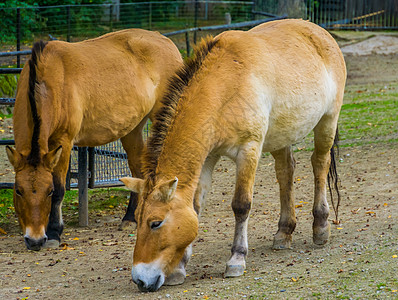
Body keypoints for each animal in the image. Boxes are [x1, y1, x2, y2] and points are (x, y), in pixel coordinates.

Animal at [5, 29, 183, 251]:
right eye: (18, 191)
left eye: (49, 191)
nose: (35, 240)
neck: (49, 81)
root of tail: (166, 41)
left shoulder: (64, 141)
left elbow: (61, 188)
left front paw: (54, 232)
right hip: (132, 129)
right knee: (138, 171)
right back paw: (130, 218)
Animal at [119, 18, 346, 290]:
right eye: (137, 219)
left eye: (156, 222)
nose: (141, 280)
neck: (225, 86)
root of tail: (320, 33)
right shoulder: (207, 157)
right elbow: (195, 207)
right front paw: (180, 268)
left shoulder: (248, 149)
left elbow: (241, 205)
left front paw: (236, 259)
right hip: (281, 136)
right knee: (286, 172)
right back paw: (283, 232)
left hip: (327, 121)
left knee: (319, 164)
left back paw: (321, 228)